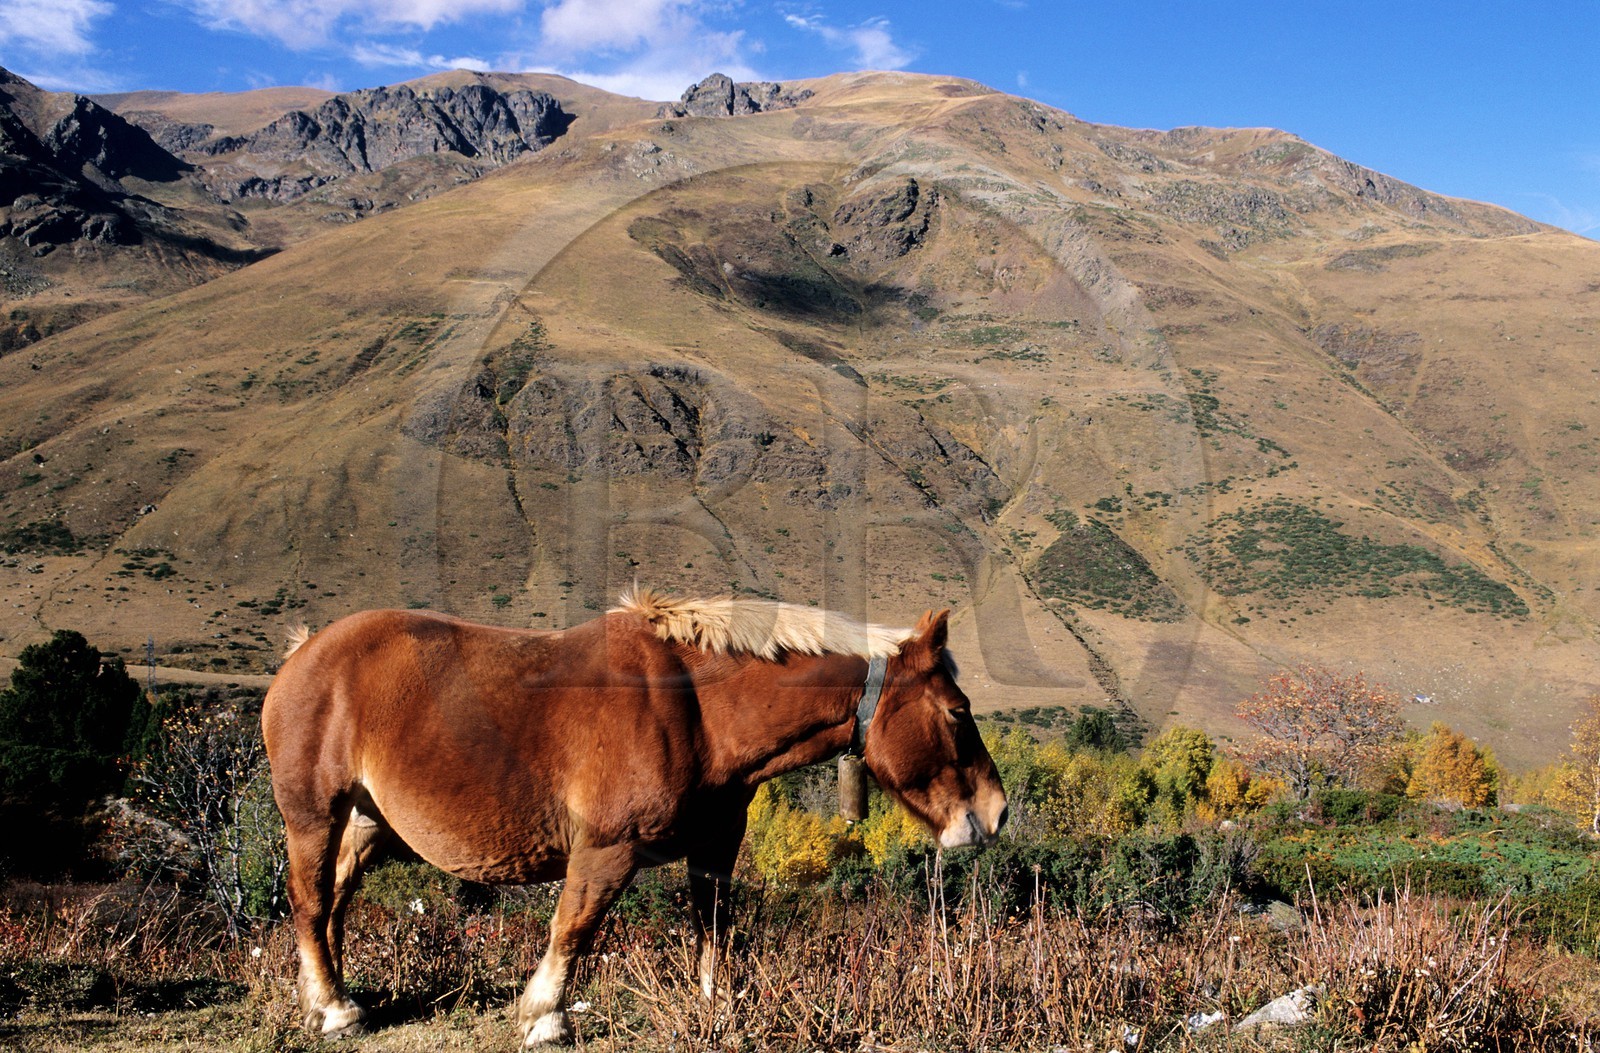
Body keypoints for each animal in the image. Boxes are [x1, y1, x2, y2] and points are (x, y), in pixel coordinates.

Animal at [262, 587, 1007, 1047]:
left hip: (363, 823)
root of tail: (303, 651)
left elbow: (714, 925)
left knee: (333, 903)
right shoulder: (606, 850)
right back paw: (333, 1008)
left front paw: (716, 1004)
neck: (697, 708)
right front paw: (545, 1017)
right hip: (314, 815)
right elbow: (574, 927)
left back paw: (329, 996)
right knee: (309, 901)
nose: (995, 812)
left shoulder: (715, 845)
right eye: (957, 711)